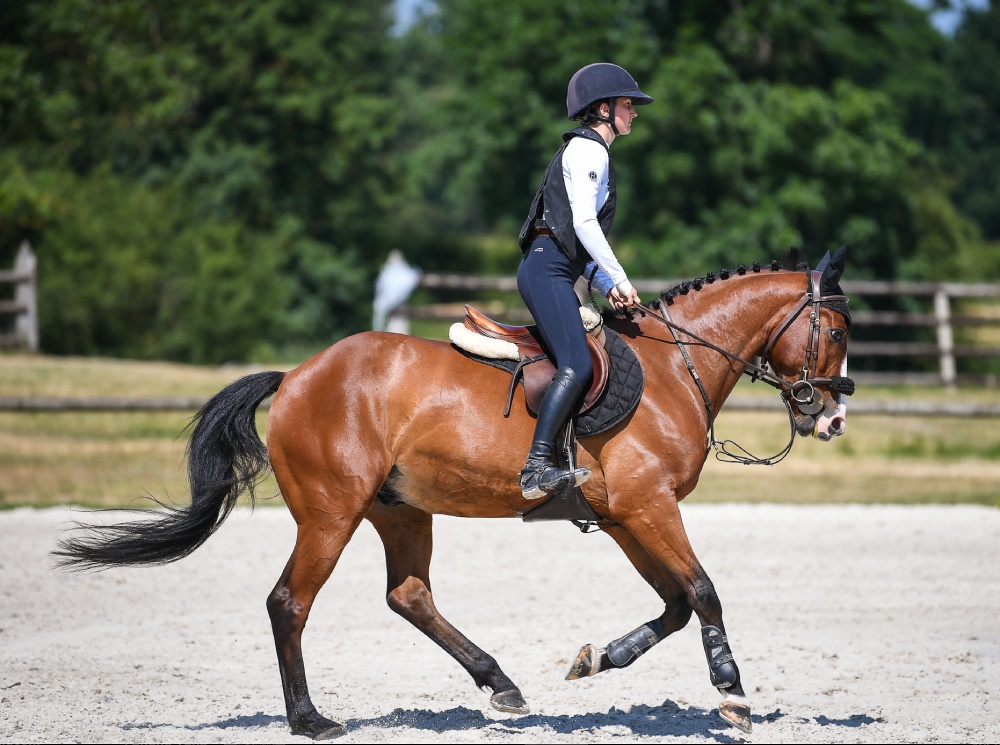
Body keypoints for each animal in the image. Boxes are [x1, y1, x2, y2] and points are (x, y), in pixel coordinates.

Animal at [54, 246, 853, 740]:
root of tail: (299, 373)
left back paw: (500, 682)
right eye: (841, 330)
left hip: (400, 509)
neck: (669, 368)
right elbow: (706, 590)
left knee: (409, 594)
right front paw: (733, 692)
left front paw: (596, 659)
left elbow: (678, 601)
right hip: (331, 511)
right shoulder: (649, 505)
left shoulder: (627, 514)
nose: (833, 416)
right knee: (290, 602)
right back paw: (311, 719)